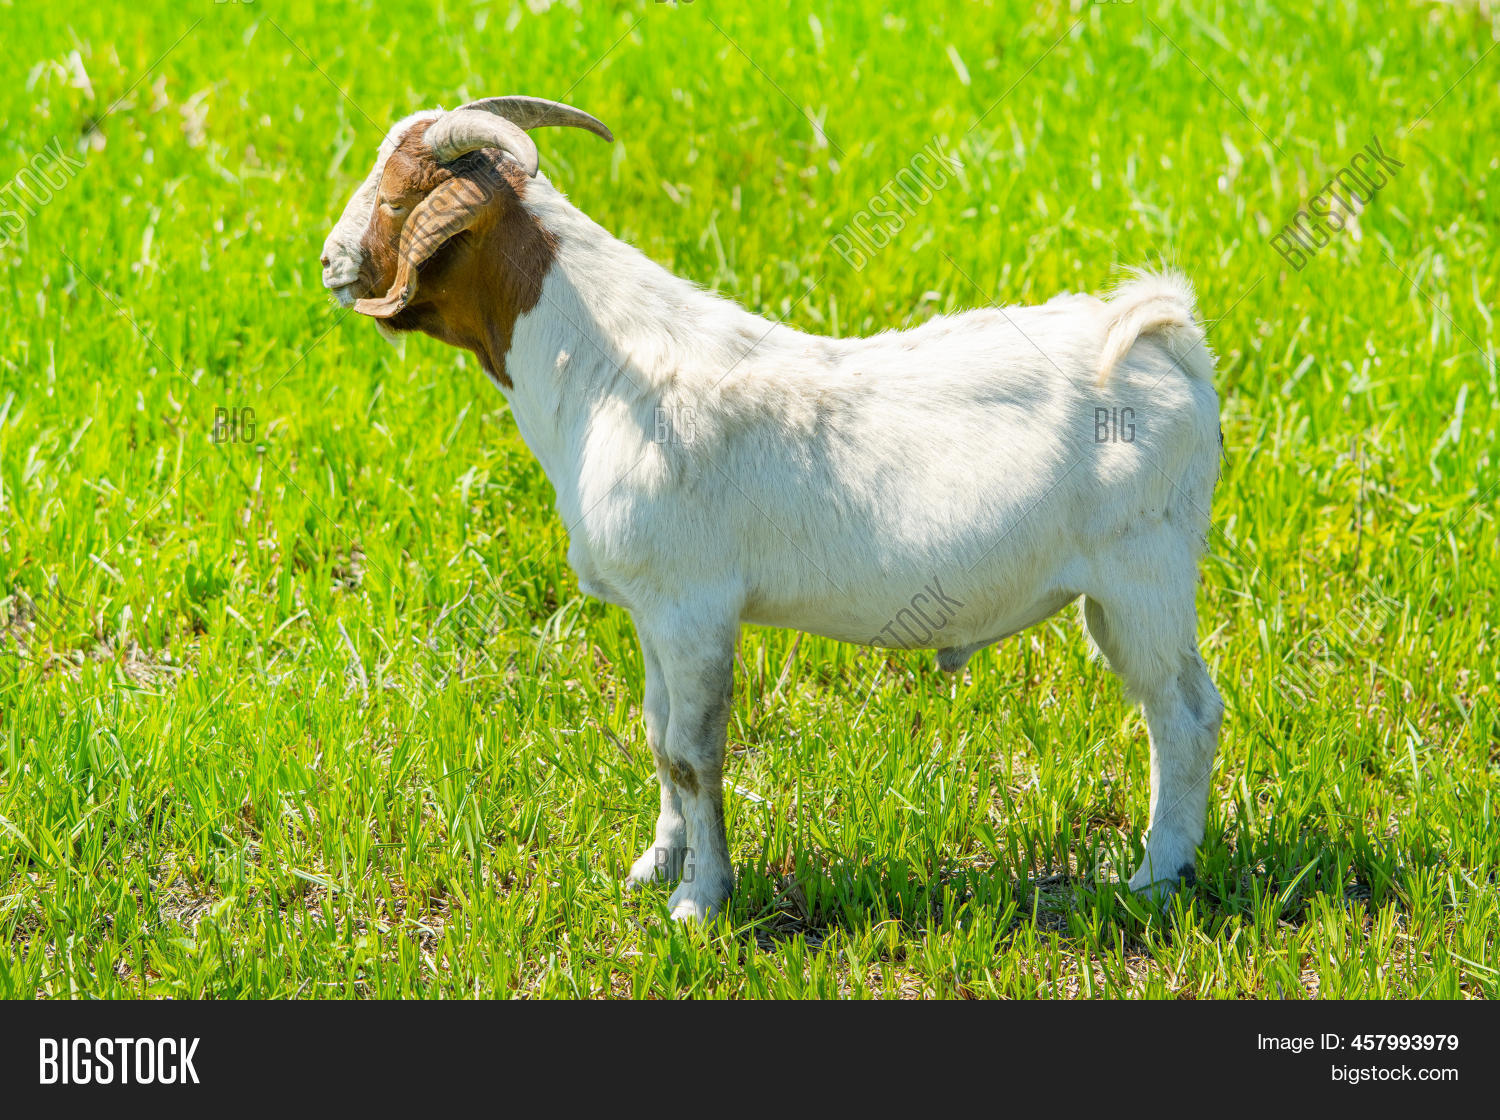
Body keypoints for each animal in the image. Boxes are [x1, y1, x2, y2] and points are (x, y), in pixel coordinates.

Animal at [320, 96, 1225, 921]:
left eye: (398, 201)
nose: (330, 262)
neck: (605, 368)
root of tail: (1161, 333)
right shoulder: (653, 609)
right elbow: (657, 737)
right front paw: (655, 865)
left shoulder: (694, 607)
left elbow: (693, 754)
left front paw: (700, 901)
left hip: (1141, 576)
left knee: (1182, 714)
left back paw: (1155, 877)